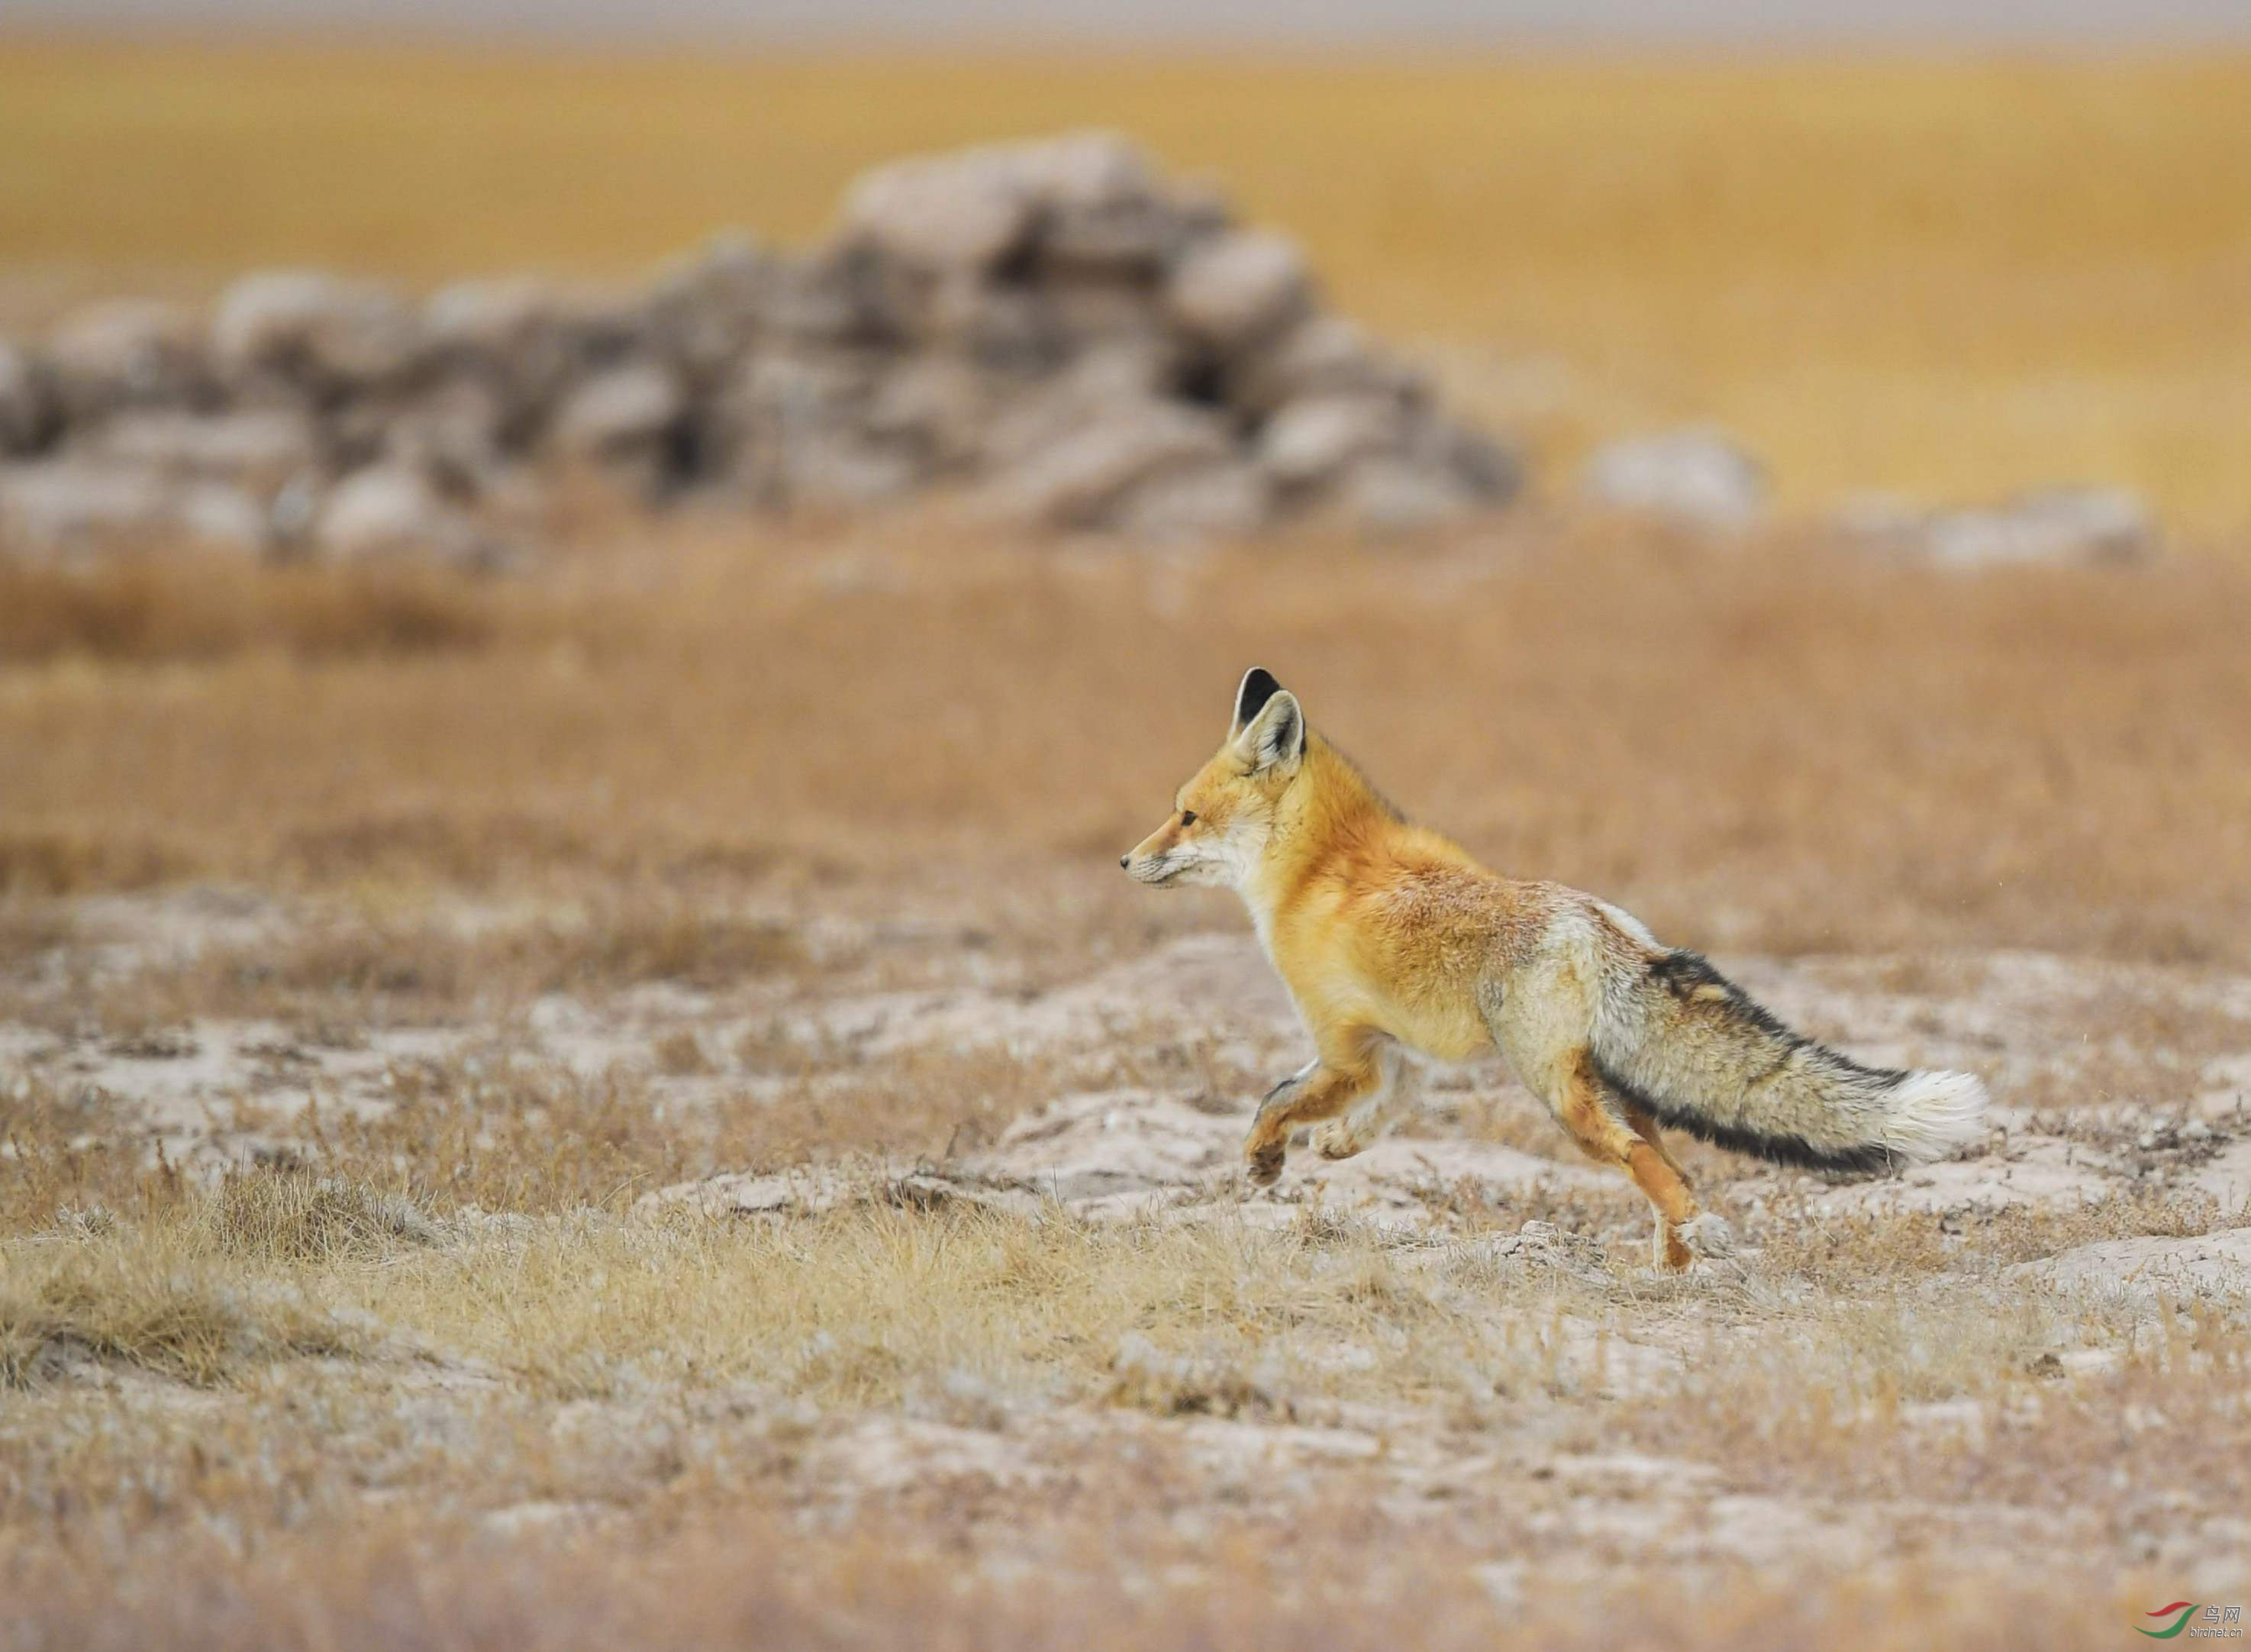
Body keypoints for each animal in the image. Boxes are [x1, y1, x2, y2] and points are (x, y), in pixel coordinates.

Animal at [1116, 666, 1981, 1278]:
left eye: (1185, 816)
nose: (1126, 860)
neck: (1317, 868)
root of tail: (1597, 922)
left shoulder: (1343, 1047)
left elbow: (1276, 1098)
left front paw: (1266, 1161)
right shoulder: (1397, 1054)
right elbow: (1372, 1114)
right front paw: (1331, 1150)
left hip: (1557, 1095)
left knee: (1648, 1165)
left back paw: (1692, 1240)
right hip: (1609, 1090)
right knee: (1671, 1162)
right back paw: (1672, 1266)